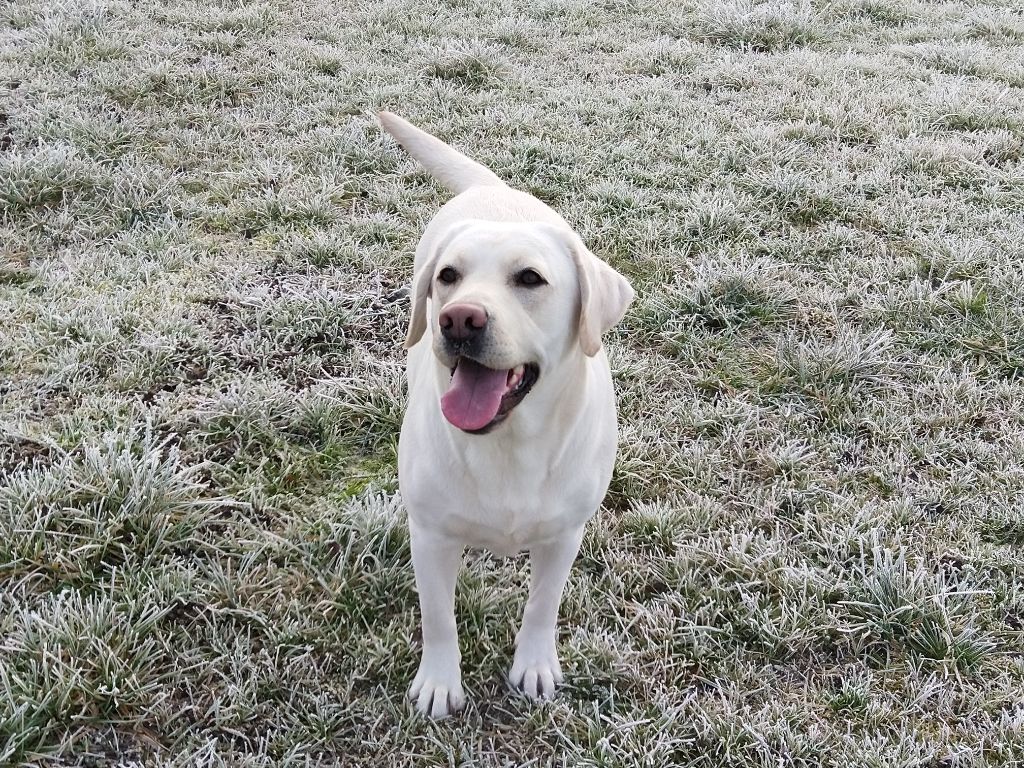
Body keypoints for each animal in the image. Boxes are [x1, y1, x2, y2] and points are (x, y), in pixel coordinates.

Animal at [379, 112, 633, 717]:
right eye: (448, 276)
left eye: (530, 279)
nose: (458, 319)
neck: (509, 441)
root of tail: (493, 189)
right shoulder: (430, 535)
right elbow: (438, 617)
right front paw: (440, 681)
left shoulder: (564, 535)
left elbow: (543, 605)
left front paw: (534, 666)